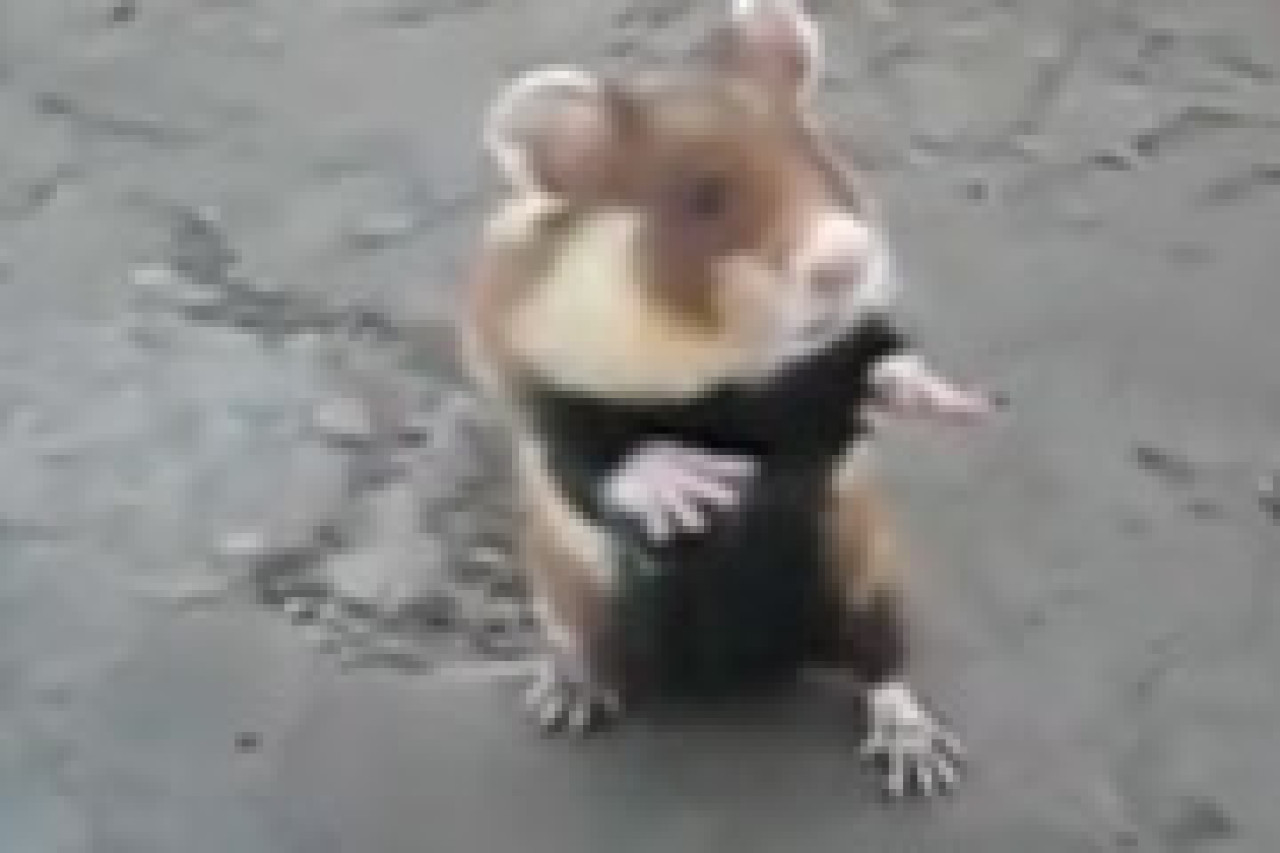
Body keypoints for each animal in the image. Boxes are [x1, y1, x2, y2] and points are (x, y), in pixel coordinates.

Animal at [460, 0, 988, 798]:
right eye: (704, 197)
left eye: (822, 159)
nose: (848, 258)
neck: (723, 362)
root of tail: (736, 673)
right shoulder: (534, 381)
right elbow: (591, 456)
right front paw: (698, 487)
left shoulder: (833, 381)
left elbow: (880, 362)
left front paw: (949, 399)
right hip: (569, 596)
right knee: (587, 646)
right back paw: (569, 696)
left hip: (868, 578)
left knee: (881, 664)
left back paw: (918, 758)